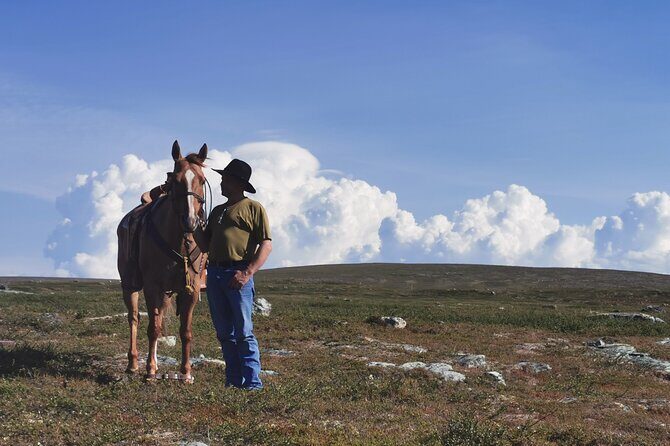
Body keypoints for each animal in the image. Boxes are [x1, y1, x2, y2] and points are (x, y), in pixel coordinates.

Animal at [117, 141, 209, 383]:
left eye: (201, 180)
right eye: (175, 180)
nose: (190, 221)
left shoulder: (190, 290)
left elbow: (185, 332)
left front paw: (186, 372)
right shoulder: (152, 287)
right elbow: (153, 329)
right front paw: (149, 371)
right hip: (130, 285)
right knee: (134, 319)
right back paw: (133, 364)